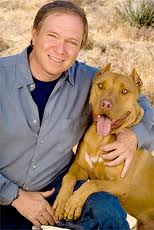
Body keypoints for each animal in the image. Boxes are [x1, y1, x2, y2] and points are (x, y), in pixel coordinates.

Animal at [53, 63, 154, 229]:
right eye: (100, 85)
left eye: (124, 91)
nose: (106, 104)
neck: (100, 139)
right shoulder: (80, 168)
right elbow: (69, 177)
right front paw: (62, 201)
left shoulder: (120, 185)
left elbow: (93, 184)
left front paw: (74, 203)